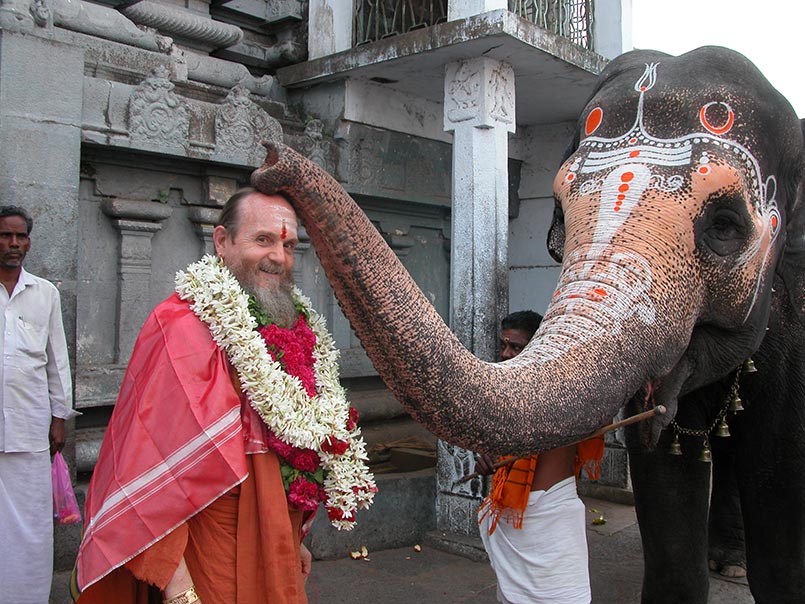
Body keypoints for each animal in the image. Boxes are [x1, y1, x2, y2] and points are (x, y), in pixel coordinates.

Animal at [253, 47, 804, 604]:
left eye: (725, 226)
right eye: (559, 212)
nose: (269, 160)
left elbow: (781, 479)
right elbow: (665, 474)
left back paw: (730, 564)